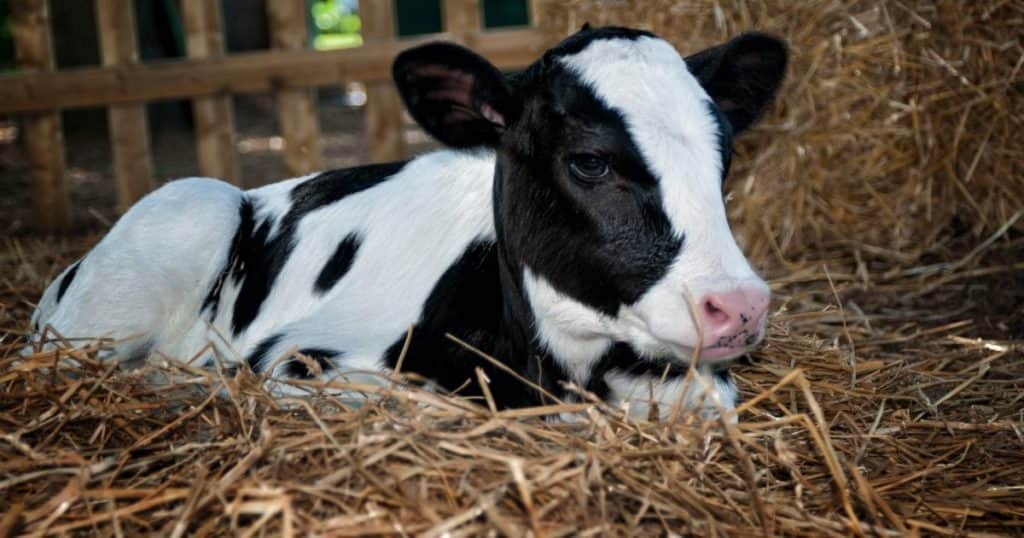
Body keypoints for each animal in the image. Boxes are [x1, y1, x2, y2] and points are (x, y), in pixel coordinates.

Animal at [29, 26, 787, 419]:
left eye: (723, 154)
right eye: (591, 161)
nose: (740, 306)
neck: (552, 366)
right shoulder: (302, 361)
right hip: (177, 224)